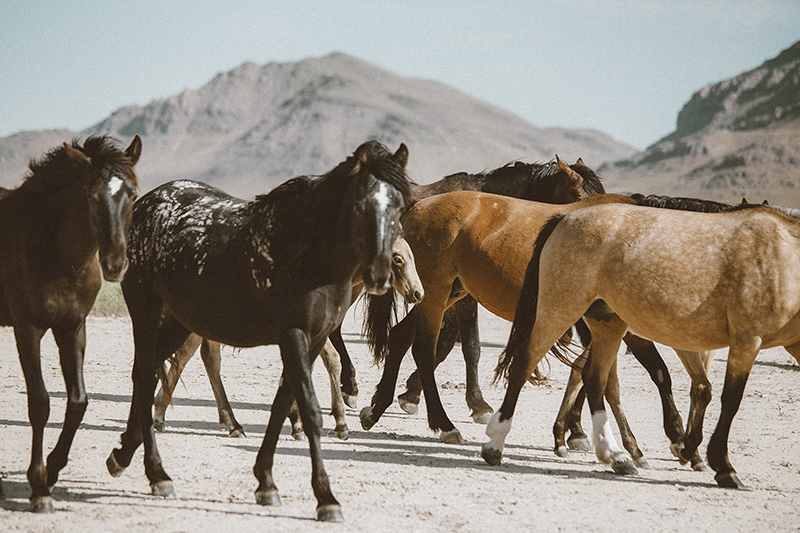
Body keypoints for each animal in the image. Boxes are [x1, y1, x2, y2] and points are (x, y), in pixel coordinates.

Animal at [0, 136, 141, 512]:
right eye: (90, 196)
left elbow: (78, 401)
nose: (116, 263)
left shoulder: (73, 328)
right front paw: (38, 487)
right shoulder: (28, 328)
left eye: (133, 194)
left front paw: (51, 472)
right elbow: (39, 404)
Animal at [105, 139, 412, 520]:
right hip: (147, 312)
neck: (309, 253)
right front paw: (326, 497)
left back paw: (123, 454)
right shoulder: (293, 335)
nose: (380, 275)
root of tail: (145, 203)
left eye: (400, 206)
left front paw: (265, 481)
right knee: (147, 377)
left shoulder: (312, 340)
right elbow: (309, 410)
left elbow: (282, 405)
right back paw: (157, 472)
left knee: (150, 376)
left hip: (179, 322)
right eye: (359, 204)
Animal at [488, 202, 800, 488]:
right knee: (525, 363)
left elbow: (703, 389)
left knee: (594, 377)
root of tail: (564, 218)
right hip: (559, 309)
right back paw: (496, 442)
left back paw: (616, 455)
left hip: (607, 324)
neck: (783, 254)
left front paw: (689, 450)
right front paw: (721, 466)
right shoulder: (747, 340)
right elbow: (729, 400)